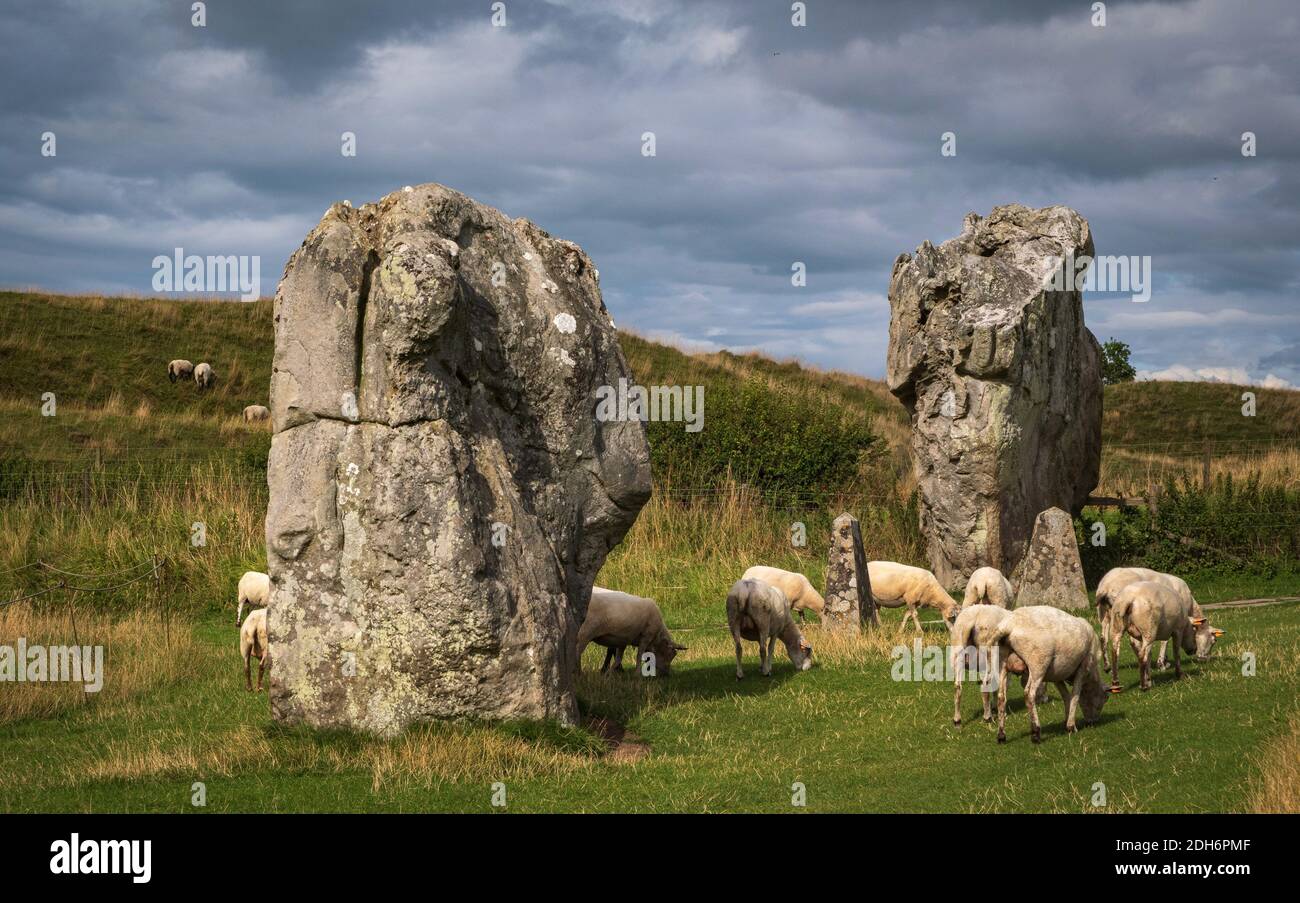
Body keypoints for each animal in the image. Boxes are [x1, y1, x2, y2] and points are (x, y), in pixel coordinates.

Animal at [992, 606, 1109, 744]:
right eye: (1105, 699)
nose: (1092, 722)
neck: (1091, 677)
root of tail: (1009, 625)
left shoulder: (1057, 675)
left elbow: (1066, 697)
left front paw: (1066, 721)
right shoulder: (1082, 668)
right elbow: (1075, 696)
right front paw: (1071, 726)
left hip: (1002, 663)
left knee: (1001, 697)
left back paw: (1001, 735)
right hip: (1038, 664)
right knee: (1029, 694)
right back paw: (1036, 733)